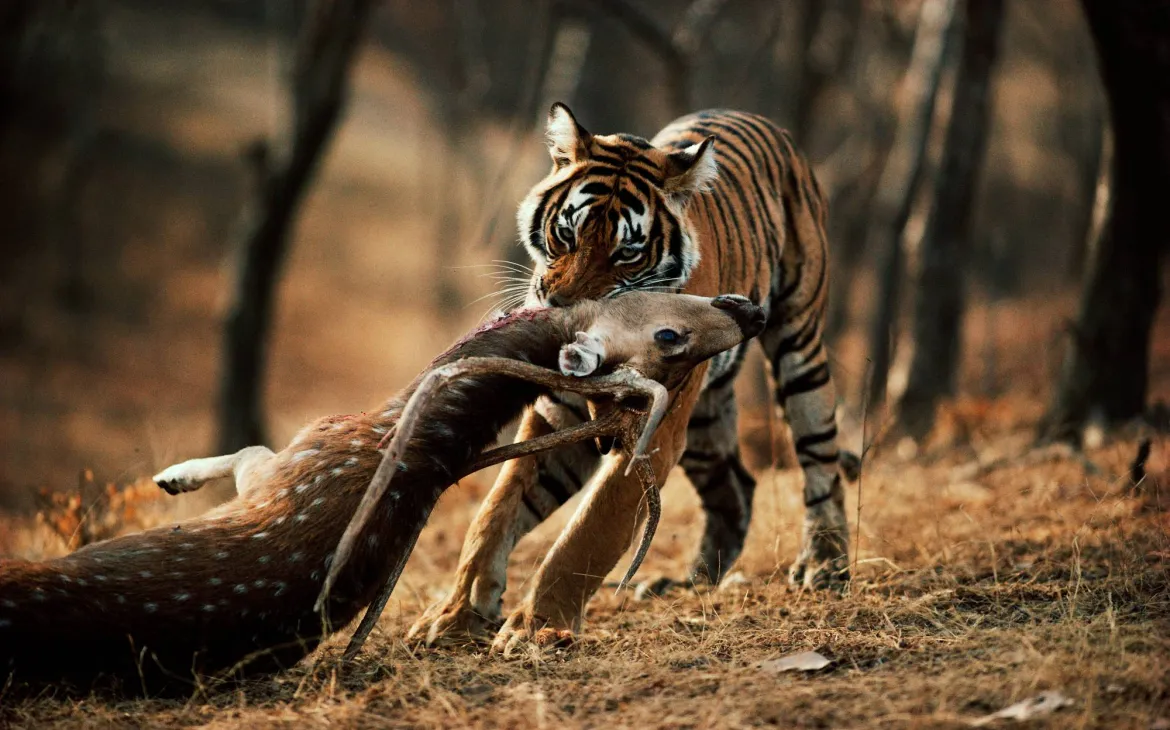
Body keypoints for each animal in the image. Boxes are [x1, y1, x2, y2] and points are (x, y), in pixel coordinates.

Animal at [406, 103, 849, 652]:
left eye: (626, 254)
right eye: (565, 234)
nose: (563, 308)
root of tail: (762, 121)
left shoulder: (650, 433)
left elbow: (589, 532)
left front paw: (535, 628)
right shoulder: (559, 414)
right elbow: (497, 509)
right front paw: (456, 616)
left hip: (798, 347)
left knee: (821, 460)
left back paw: (825, 565)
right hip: (703, 422)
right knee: (736, 486)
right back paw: (691, 581)